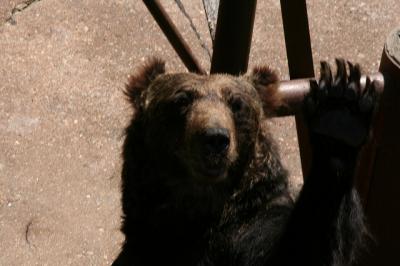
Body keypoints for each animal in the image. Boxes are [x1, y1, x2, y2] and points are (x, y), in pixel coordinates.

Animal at [111, 58, 376, 266]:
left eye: (237, 103)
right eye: (182, 99)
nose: (215, 138)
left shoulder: (252, 222)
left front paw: (339, 110)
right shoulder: (149, 241)